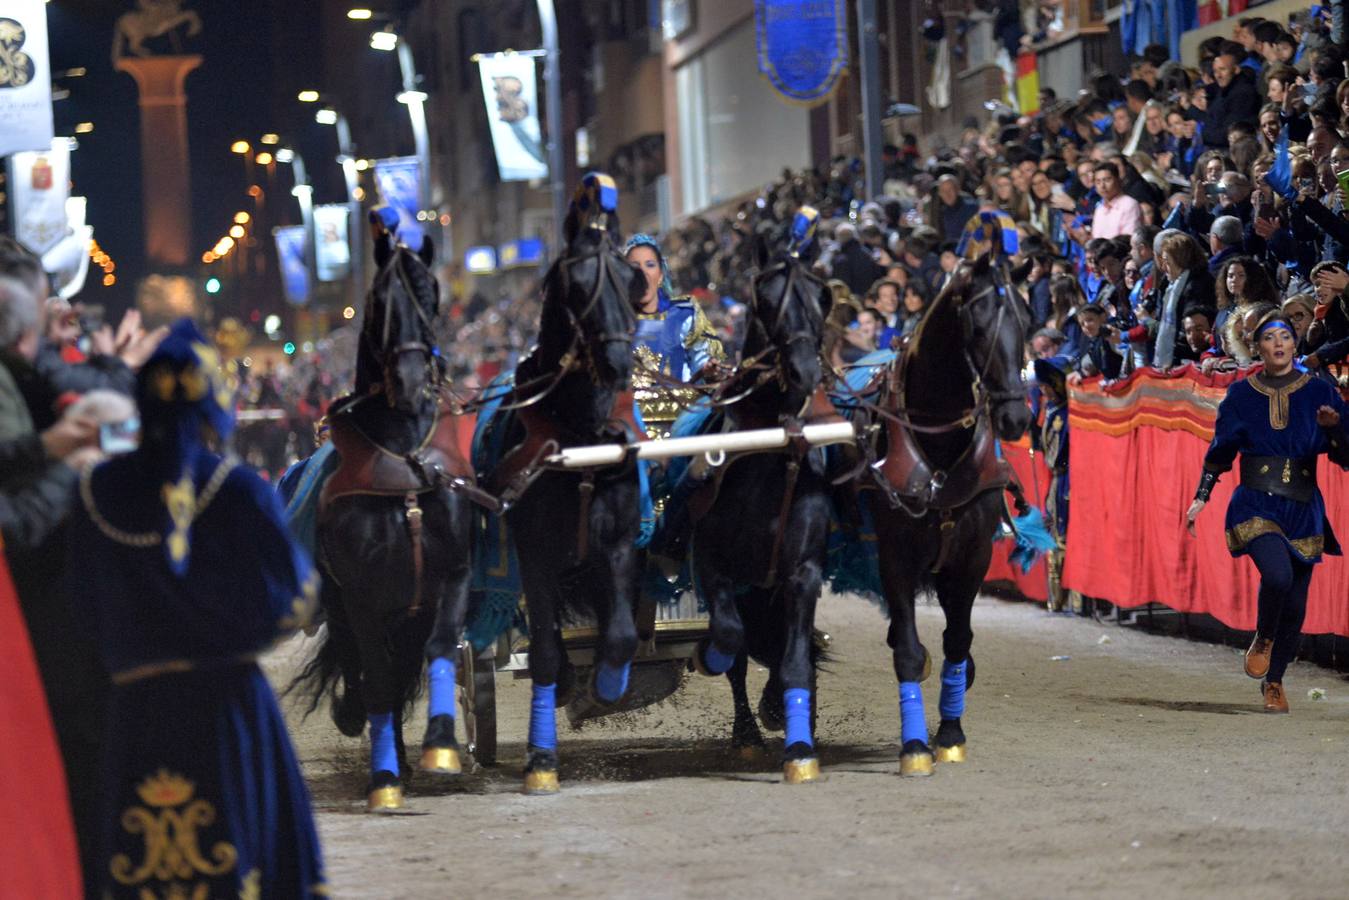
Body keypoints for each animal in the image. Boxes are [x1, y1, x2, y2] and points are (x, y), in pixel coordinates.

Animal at [292, 223, 477, 809]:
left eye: (432, 292)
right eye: (379, 300)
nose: (411, 378)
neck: (404, 468)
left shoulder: (449, 576)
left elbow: (437, 647)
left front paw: (440, 746)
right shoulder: (360, 593)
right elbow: (373, 673)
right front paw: (385, 776)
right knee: (365, 667)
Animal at [485, 174, 647, 793]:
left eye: (631, 278)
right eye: (576, 285)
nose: (620, 360)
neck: (579, 437)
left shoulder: (617, 545)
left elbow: (620, 635)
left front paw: (604, 688)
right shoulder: (536, 557)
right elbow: (548, 656)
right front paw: (541, 758)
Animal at [685, 214, 830, 782]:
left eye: (822, 295)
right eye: (766, 301)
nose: (806, 371)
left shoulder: (803, 572)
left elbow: (794, 659)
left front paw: (797, 741)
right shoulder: (712, 563)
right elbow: (729, 639)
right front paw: (710, 657)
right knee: (742, 648)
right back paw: (746, 732)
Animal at [863, 252, 1030, 777]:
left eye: (1027, 318)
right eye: (977, 325)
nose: (1017, 418)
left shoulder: (971, 557)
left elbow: (958, 640)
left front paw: (951, 732)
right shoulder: (895, 556)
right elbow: (909, 653)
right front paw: (916, 744)